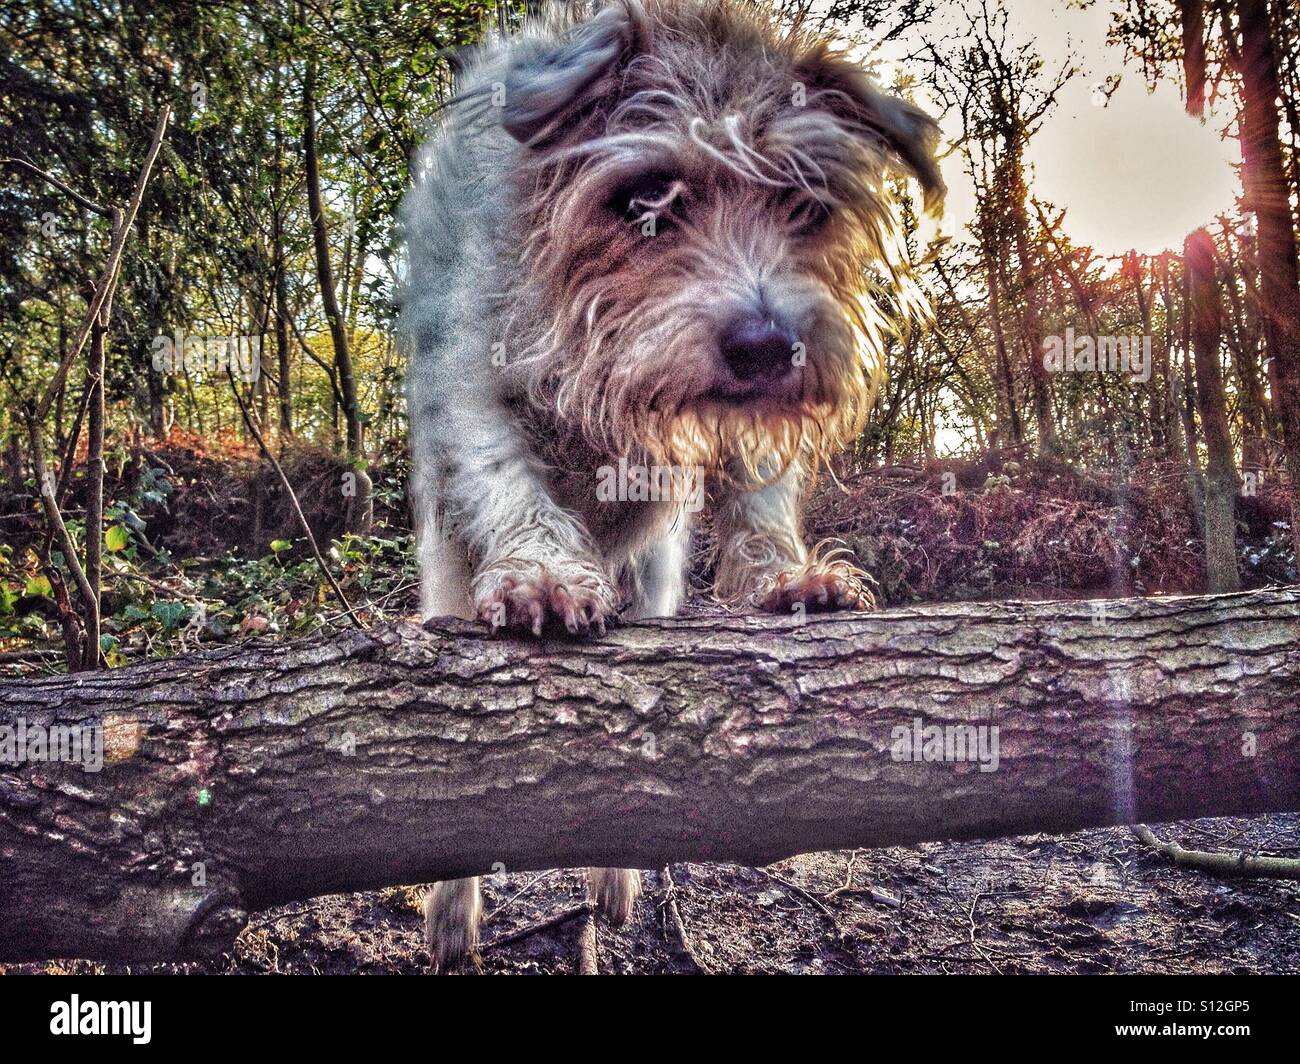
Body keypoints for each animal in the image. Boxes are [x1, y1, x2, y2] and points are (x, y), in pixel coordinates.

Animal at [400, 0, 941, 967]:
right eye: (644, 201)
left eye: (805, 203)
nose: (767, 346)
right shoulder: (468, 370)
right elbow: (505, 470)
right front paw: (542, 573)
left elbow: (759, 492)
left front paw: (786, 577)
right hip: (446, 570)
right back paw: (453, 914)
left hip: (653, 578)